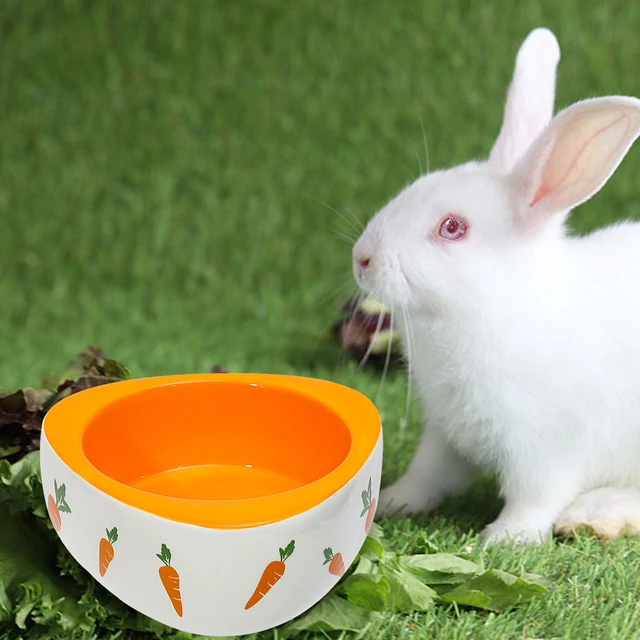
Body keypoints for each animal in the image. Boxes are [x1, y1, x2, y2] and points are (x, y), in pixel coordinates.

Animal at [351, 26, 640, 545]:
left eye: (453, 228)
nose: (361, 258)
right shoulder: (444, 434)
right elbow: (428, 476)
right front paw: (392, 502)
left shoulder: (545, 450)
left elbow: (532, 498)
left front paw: (503, 538)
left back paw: (595, 514)